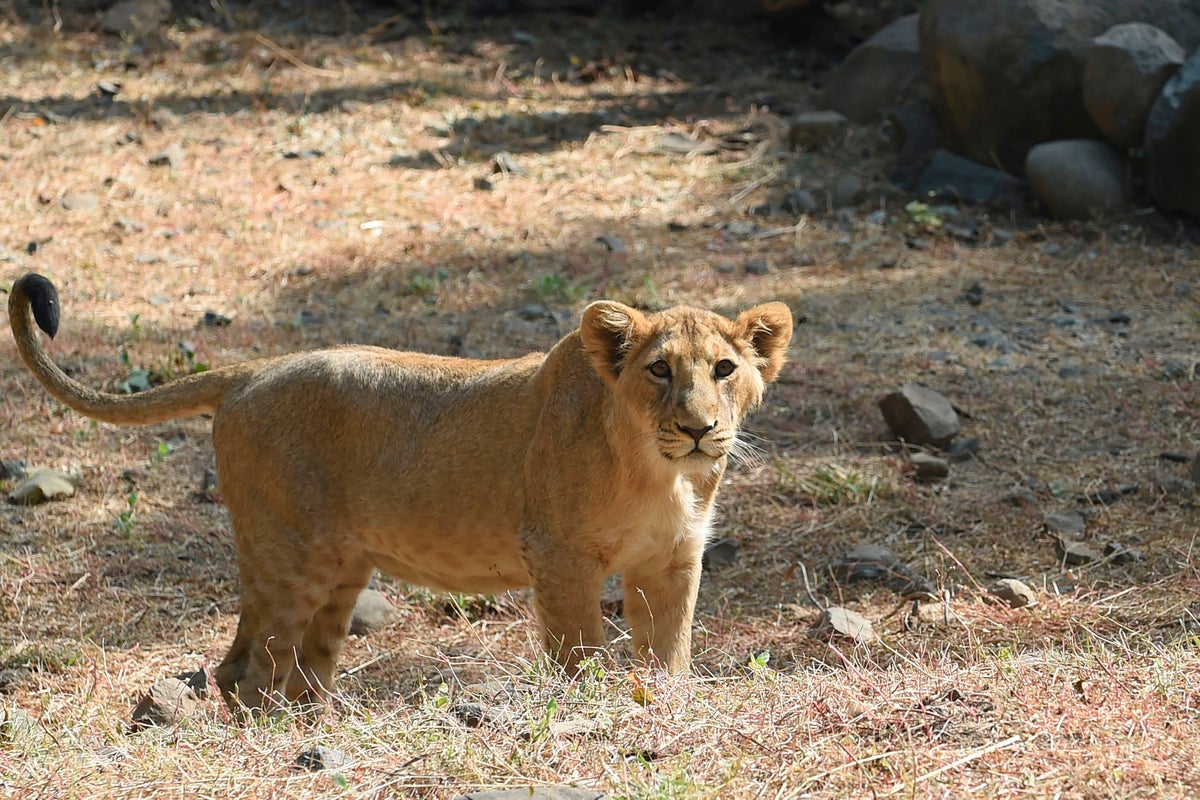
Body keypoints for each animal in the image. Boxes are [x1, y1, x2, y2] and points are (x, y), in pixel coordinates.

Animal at [8, 272, 792, 713]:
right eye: (660, 371)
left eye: (724, 369)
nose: (699, 428)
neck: (661, 475)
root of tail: (252, 370)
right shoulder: (559, 556)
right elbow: (580, 653)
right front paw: (595, 707)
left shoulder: (672, 561)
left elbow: (671, 651)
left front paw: (669, 705)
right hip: (288, 555)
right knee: (242, 668)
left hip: (341, 570)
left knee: (303, 669)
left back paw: (322, 728)